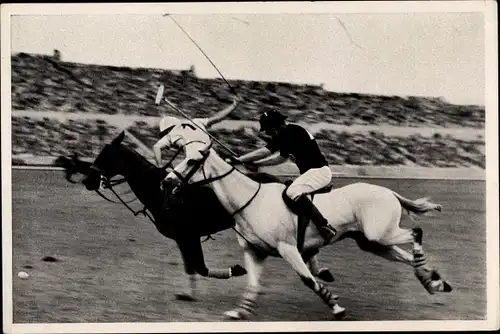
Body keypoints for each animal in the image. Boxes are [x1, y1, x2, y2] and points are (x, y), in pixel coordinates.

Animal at [58, 130, 290, 300]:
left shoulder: (189, 236)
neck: (160, 192)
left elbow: (200, 267)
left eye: (106, 156)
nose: (88, 181)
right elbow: (192, 268)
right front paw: (188, 293)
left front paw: (236, 270)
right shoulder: (182, 239)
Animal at [164, 147, 454, 320]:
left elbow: (308, 279)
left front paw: (336, 306)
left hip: (379, 234)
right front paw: (240, 312)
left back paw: (430, 277)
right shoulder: (255, 252)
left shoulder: (288, 248)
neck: (250, 201)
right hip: (372, 242)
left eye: (191, 160)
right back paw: (433, 282)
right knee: (408, 256)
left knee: (416, 232)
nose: (167, 182)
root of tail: (389, 192)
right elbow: (253, 284)